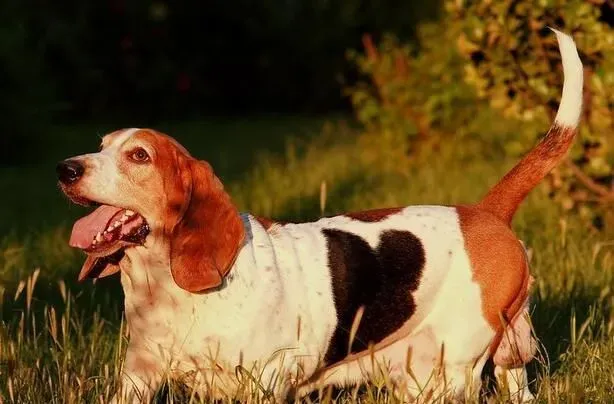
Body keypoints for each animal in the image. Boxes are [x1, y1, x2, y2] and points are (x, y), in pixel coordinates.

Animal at [56, 31, 584, 404]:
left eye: (139, 156)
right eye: (101, 145)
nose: (66, 169)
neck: (165, 285)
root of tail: (482, 212)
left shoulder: (259, 383)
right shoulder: (138, 377)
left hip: (451, 368)